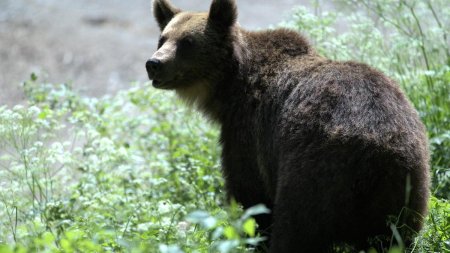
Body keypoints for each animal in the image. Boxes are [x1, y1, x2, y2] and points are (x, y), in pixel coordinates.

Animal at [146, 0, 430, 251]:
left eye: (187, 42)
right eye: (163, 38)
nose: (154, 64)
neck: (231, 87)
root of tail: (373, 146)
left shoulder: (248, 134)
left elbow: (250, 198)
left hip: (312, 170)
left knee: (296, 229)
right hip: (404, 185)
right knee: (393, 237)